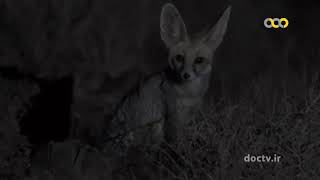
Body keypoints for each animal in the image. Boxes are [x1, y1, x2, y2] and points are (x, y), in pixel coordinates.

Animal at [101, 2, 231, 155]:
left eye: (199, 60)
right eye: (179, 58)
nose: (186, 75)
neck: (189, 94)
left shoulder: (189, 115)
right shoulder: (173, 117)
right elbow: (177, 143)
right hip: (153, 126)